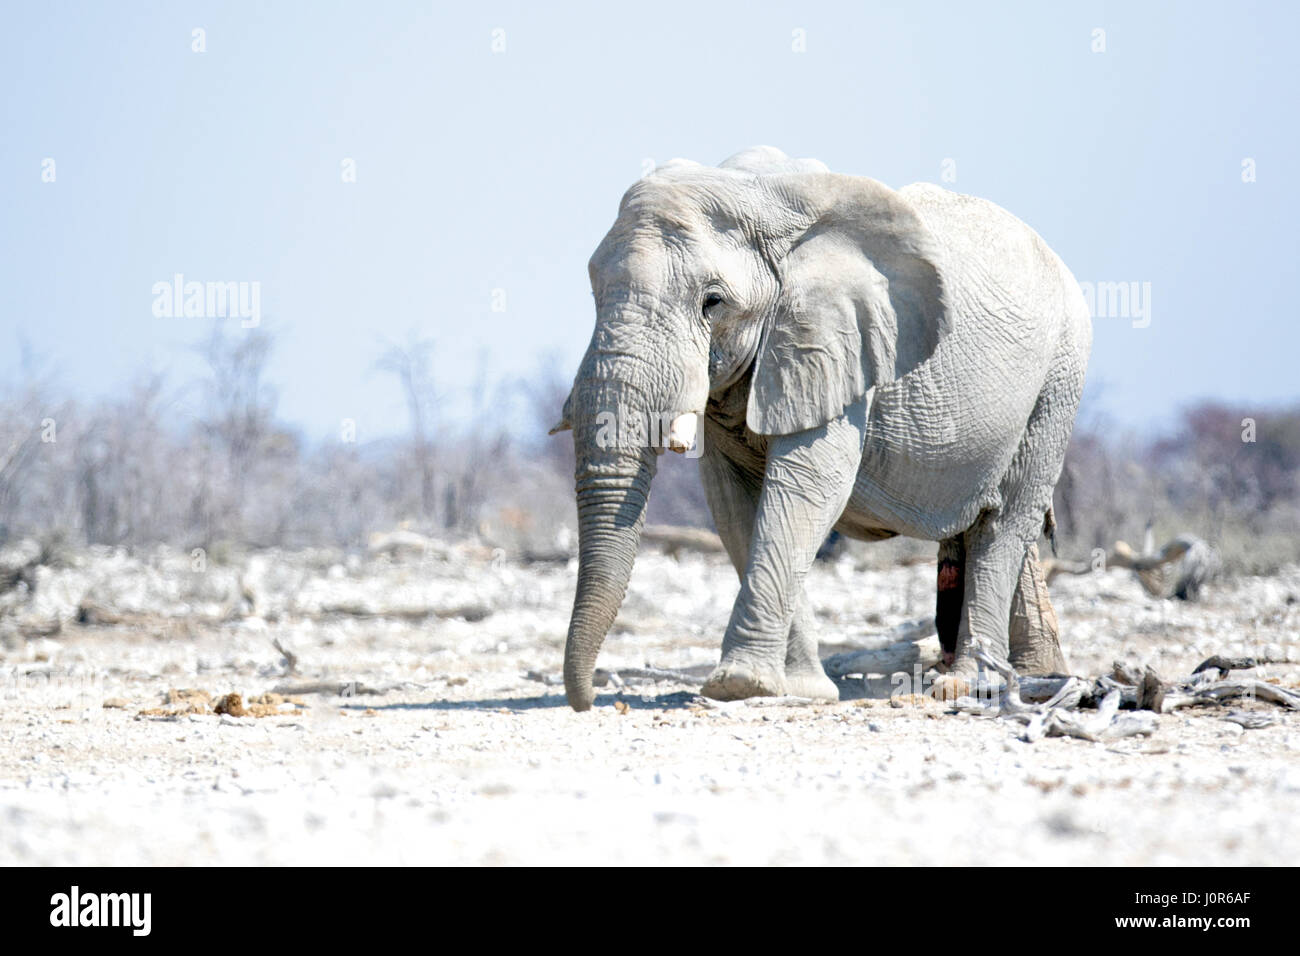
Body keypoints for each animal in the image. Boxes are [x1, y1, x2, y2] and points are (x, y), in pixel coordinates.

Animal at [548, 147, 1086, 712]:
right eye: (594, 291)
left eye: (712, 301)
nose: (587, 701)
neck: (752, 194)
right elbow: (734, 505)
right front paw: (801, 689)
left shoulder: (838, 346)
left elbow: (806, 489)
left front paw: (737, 685)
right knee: (996, 523)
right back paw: (1034, 677)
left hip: (1058, 381)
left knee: (1004, 522)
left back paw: (966, 685)